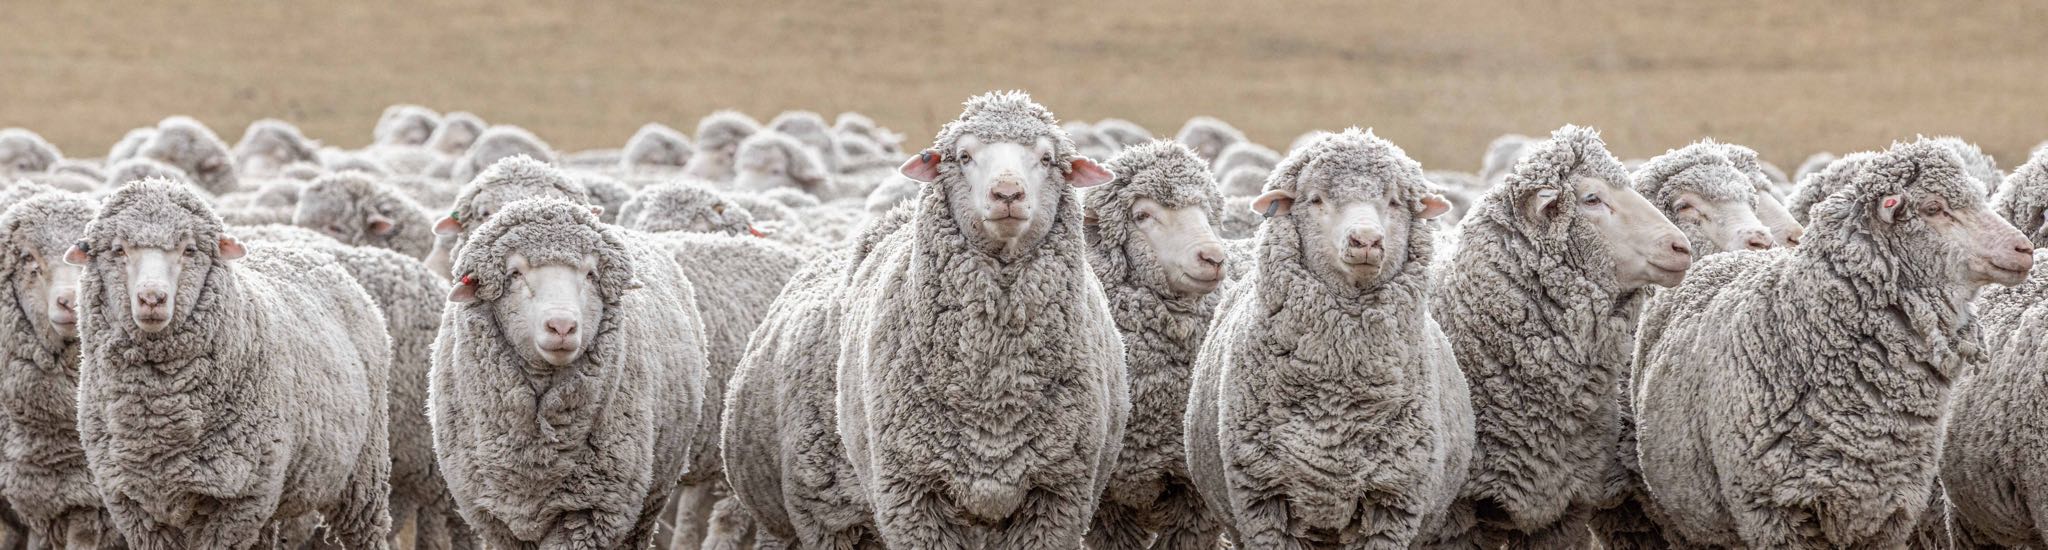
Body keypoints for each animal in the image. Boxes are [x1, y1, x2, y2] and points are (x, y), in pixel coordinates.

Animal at [69, 179, 394, 549]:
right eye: (118, 250)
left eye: (189, 249)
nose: (152, 298)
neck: (161, 416)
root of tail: (308, 252)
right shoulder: (132, 503)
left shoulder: (236, 501)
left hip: (363, 470)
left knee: (366, 531)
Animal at [430, 197, 707, 549]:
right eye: (515, 273)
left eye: (590, 274)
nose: (561, 326)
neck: (535, 454)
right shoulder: (495, 518)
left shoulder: (591, 510)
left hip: (653, 494)